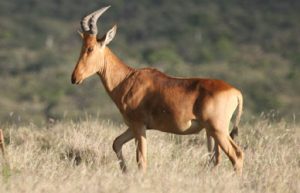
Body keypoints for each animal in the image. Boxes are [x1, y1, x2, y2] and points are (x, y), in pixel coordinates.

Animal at [72, 5, 244, 173]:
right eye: (82, 47)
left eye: (90, 48)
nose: (74, 78)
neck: (128, 79)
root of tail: (235, 92)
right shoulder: (134, 127)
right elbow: (116, 143)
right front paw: (125, 171)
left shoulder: (139, 126)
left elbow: (141, 161)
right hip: (212, 131)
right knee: (216, 159)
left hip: (218, 129)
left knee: (237, 155)